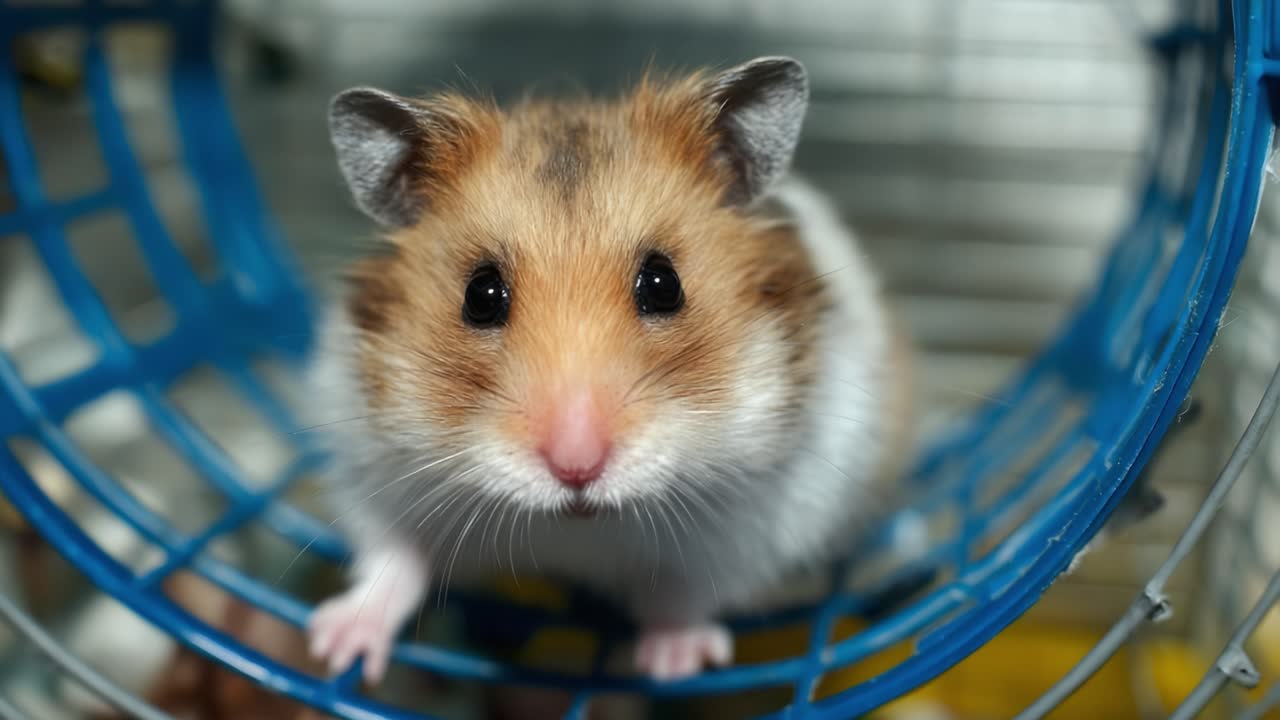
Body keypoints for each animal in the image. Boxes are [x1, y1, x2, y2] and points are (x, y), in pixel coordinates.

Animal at [304, 56, 915, 685]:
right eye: (480, 294)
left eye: (664, 284)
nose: (576, 466)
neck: (579, 528)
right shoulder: (370, 469)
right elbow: (392, 560)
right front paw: (333, 647)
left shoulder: (749, 530)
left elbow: (682, 593)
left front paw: (673, 666)